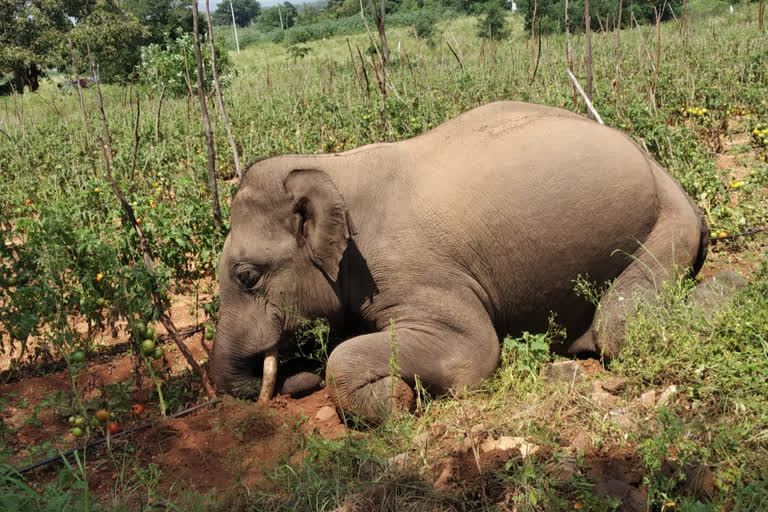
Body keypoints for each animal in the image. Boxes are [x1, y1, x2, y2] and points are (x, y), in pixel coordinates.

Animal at [208, 101, 708, 424]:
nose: (295, 376)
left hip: (668, 222)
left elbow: (474, 349)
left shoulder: (414, 272)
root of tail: (658, 165)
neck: (328, 167)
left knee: (618, 329)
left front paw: (397, 400)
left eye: (247, 276)